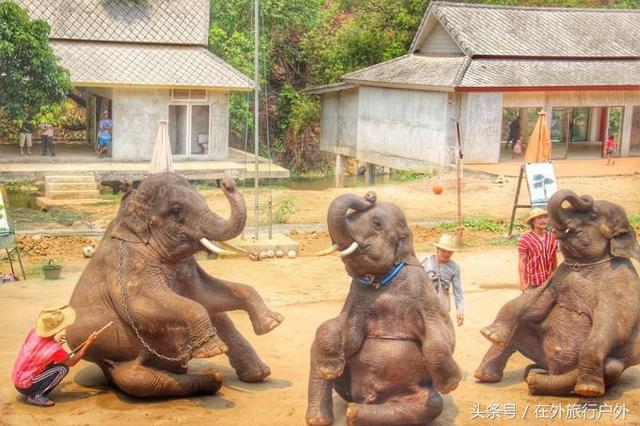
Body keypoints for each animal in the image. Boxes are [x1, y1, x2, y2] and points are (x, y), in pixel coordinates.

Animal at [65, 173, 283, 397]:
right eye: (176, 211)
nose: (226, 181)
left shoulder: (186, 268)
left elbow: (205, 295)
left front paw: (273, 324)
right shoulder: (129, 264)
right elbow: (142, 306)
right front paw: (214, 351)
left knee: (219, 317)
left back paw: (256, 374)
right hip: (111, 357)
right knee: (136, 380)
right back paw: (214, 375)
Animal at [306, 192, 461, 425]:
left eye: (377, 223)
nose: (370, 195)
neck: (381, 281)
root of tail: (372, 399)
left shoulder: (423, 294)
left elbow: (444, 336)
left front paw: (451, 383)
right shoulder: (357, 297)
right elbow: (344, 333)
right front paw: (329, 370)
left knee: (433, 403)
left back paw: (353, 413)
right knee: (316, 350)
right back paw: (322, 417)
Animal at [476, 190, 640, 397]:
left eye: (593, 216)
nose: (586, 196)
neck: (582, 265)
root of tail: (550, 368)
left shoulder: (621, 288)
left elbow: (612, 327)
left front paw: (589, 390)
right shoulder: (557, 278)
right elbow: (530, 300)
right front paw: (488, 333)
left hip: (610, 366)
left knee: (609, 368)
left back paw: (581, 389)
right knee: (517, 332)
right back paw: (486, 376)